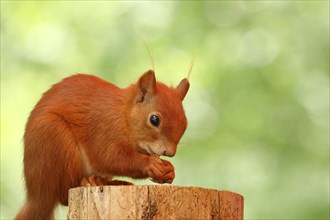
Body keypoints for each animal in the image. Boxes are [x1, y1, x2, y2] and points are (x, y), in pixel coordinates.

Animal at [15, 69, 189, 219]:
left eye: (185, 122)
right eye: (154, 119)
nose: (170, 152)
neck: (123, 114)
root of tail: (36, 195)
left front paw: (169, 170)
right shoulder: (103, 129)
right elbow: (109, 158)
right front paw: (149, 164)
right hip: (54, 137)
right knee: (63, 195)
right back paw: (89, 182)